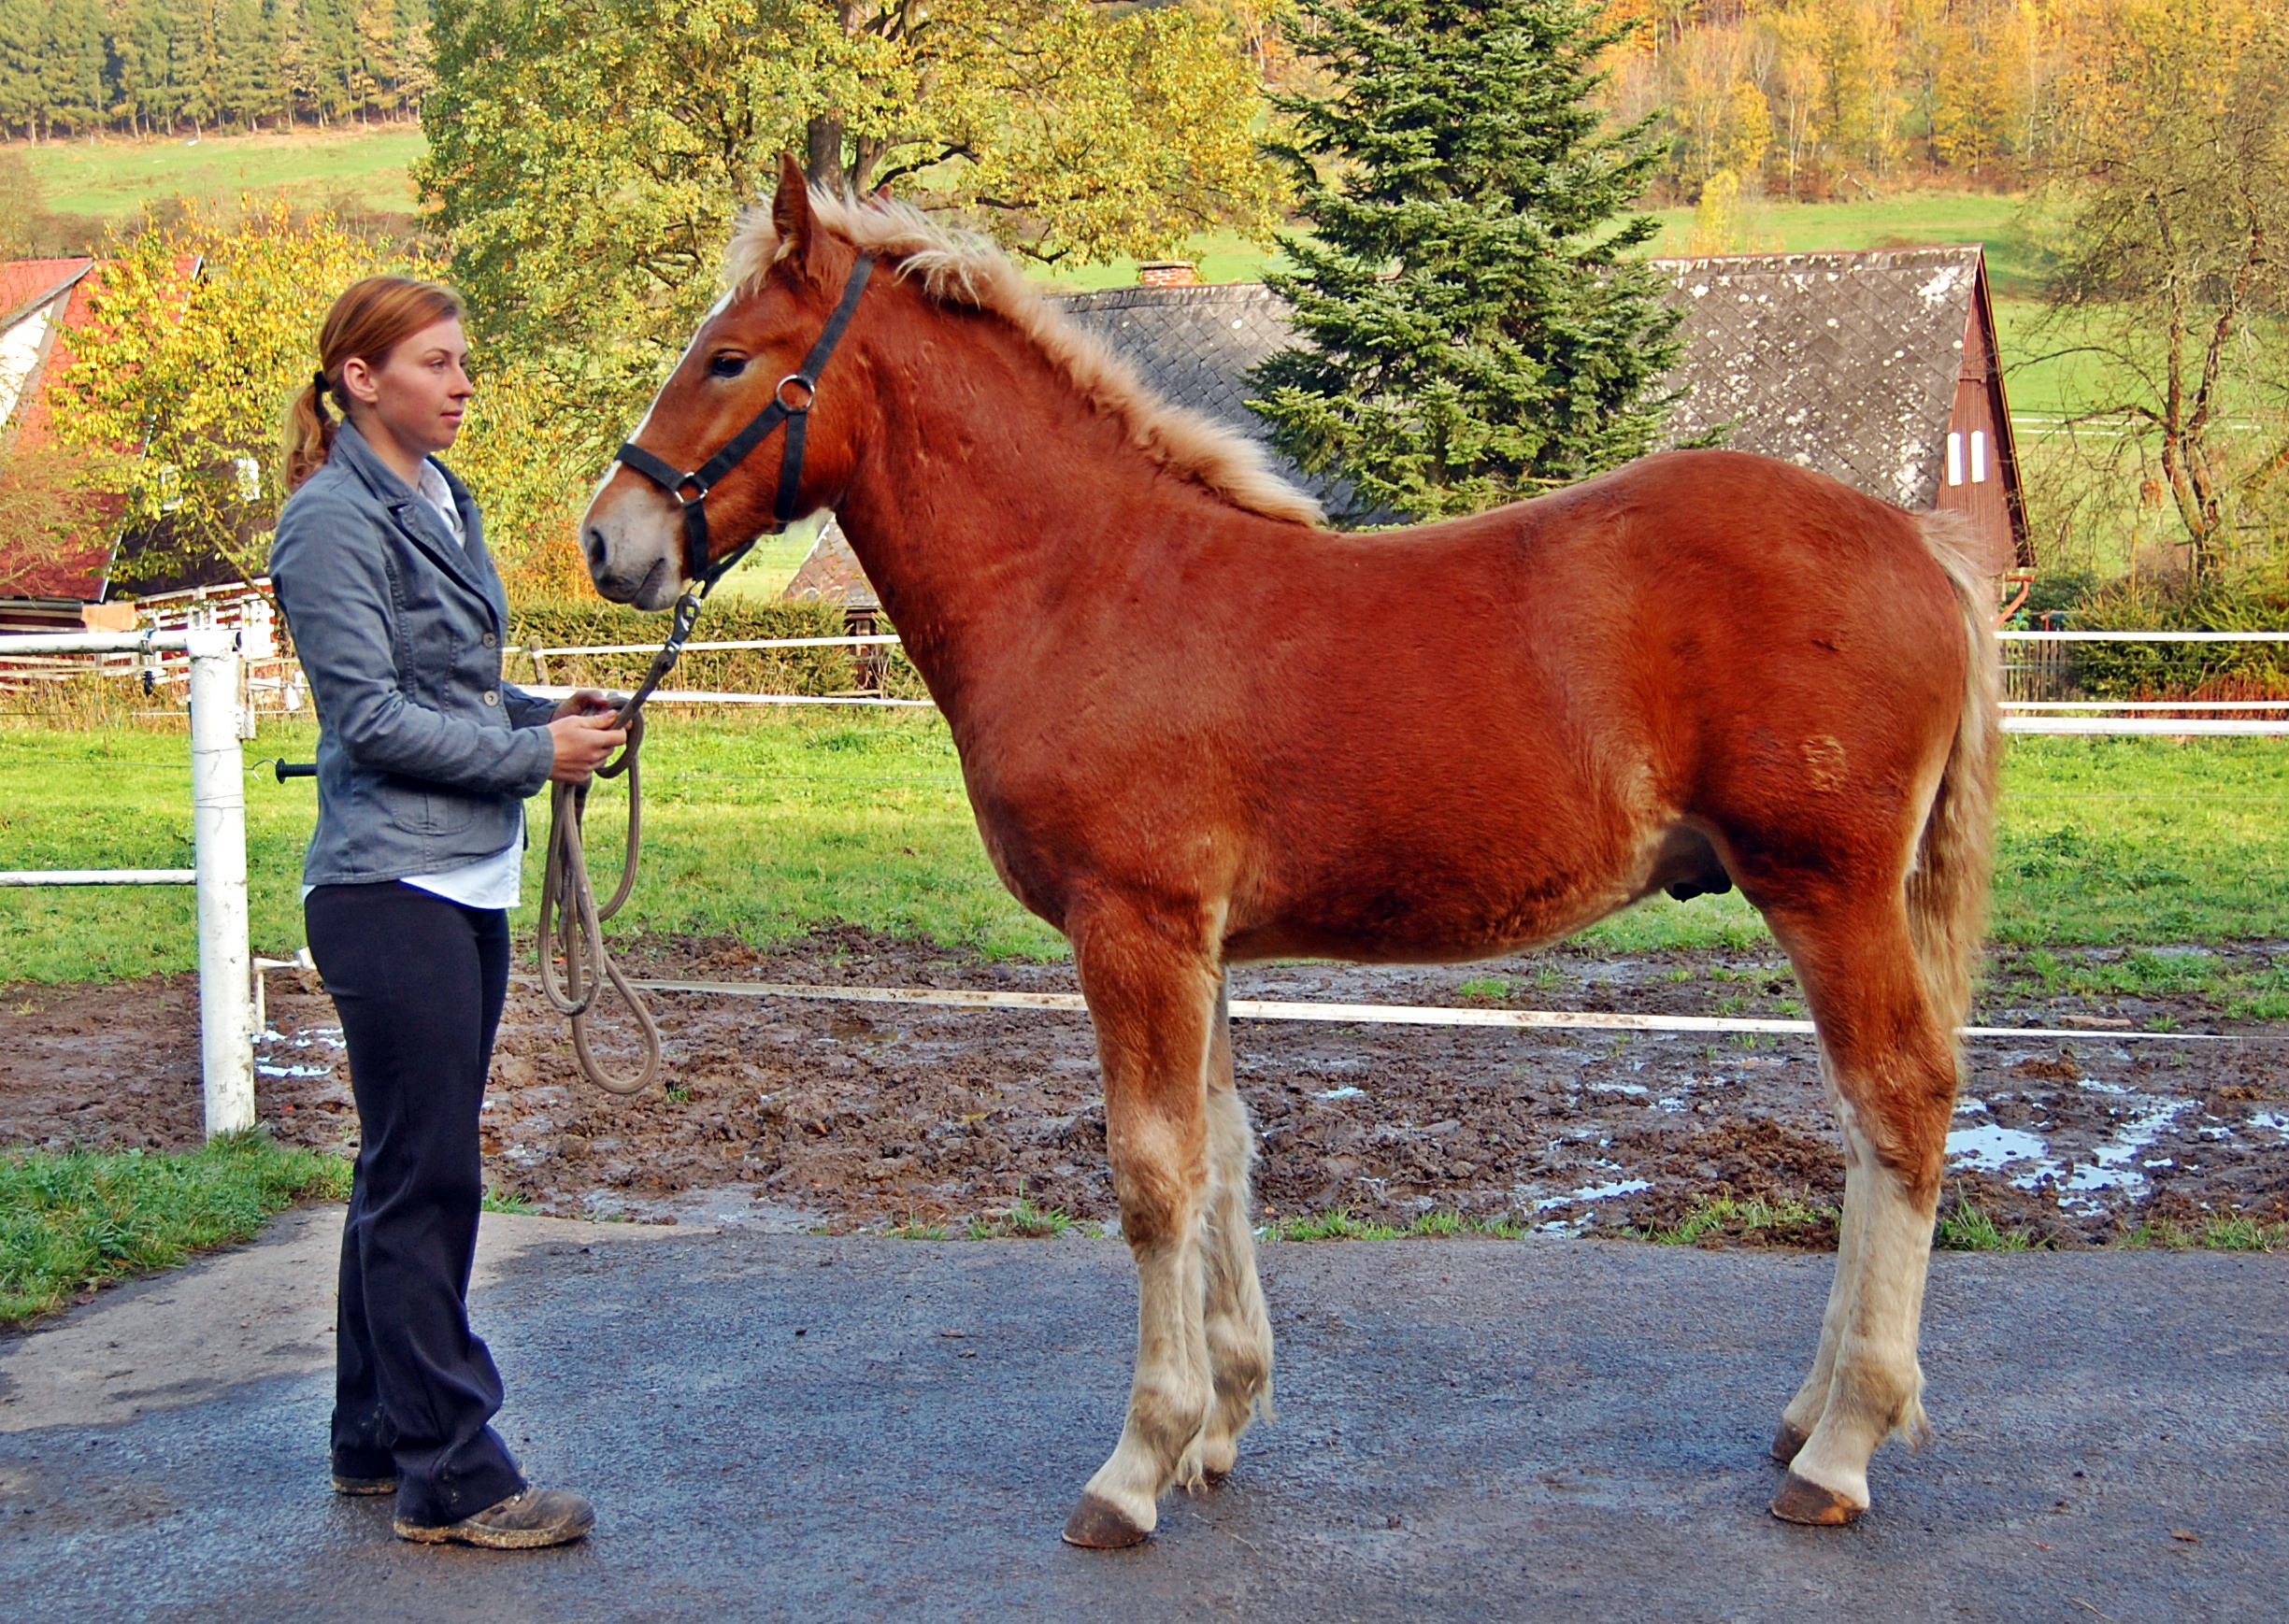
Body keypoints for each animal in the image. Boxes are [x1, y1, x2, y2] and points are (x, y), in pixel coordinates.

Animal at [585, 162, 2005, 1555]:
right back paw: (1809, 1413)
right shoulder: (1200, 946)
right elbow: (1222, 1154)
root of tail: (1917, 544)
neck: (1089, 584)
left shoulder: (1134, 926)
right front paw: (1216, 1427)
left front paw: (1134, 1463)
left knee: (1900, 1102)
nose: (609, 542)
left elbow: (1153, 1175)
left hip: (1826, 890)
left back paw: (1840, 1445)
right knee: (1867, 1123)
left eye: (727, 358)